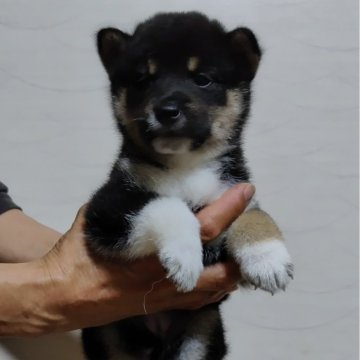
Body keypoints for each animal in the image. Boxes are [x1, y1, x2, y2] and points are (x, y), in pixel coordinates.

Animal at [83, 11, 294, 360]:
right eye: (143, 80)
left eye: (203, 79)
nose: (166, 110)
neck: (187, 165)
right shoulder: (107, 208)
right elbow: (165, 204)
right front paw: (184, 255)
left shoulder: (236, 193)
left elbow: (257, 215)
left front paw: (268, 258)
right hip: (107, 333)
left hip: (203, 330)